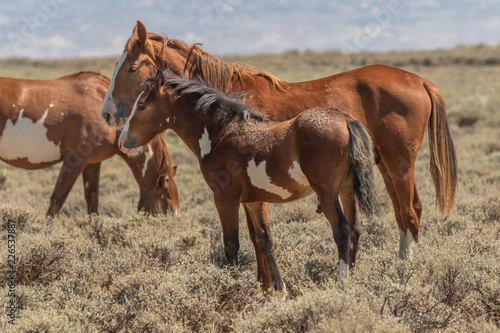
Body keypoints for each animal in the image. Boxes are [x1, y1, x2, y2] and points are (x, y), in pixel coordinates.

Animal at [97, 21, 458, 260]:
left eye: (131, 68)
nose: (106, 113)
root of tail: (419, 80)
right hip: (382, 168)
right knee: (404, 213)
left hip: (399, 166)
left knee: (410, 212)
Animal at [118, 71, 378, 290]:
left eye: (141, 106)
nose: (122, 140)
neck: (220, 134)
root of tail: (345, 120)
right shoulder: (254, 202)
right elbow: (263, 240)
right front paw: (277, 290)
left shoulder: (225, 198)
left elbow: (231, 244)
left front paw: (230, 287)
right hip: (346, 189)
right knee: (355, 227)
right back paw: (352, 275)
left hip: (326, 193)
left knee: (341, 229)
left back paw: (341, 283)